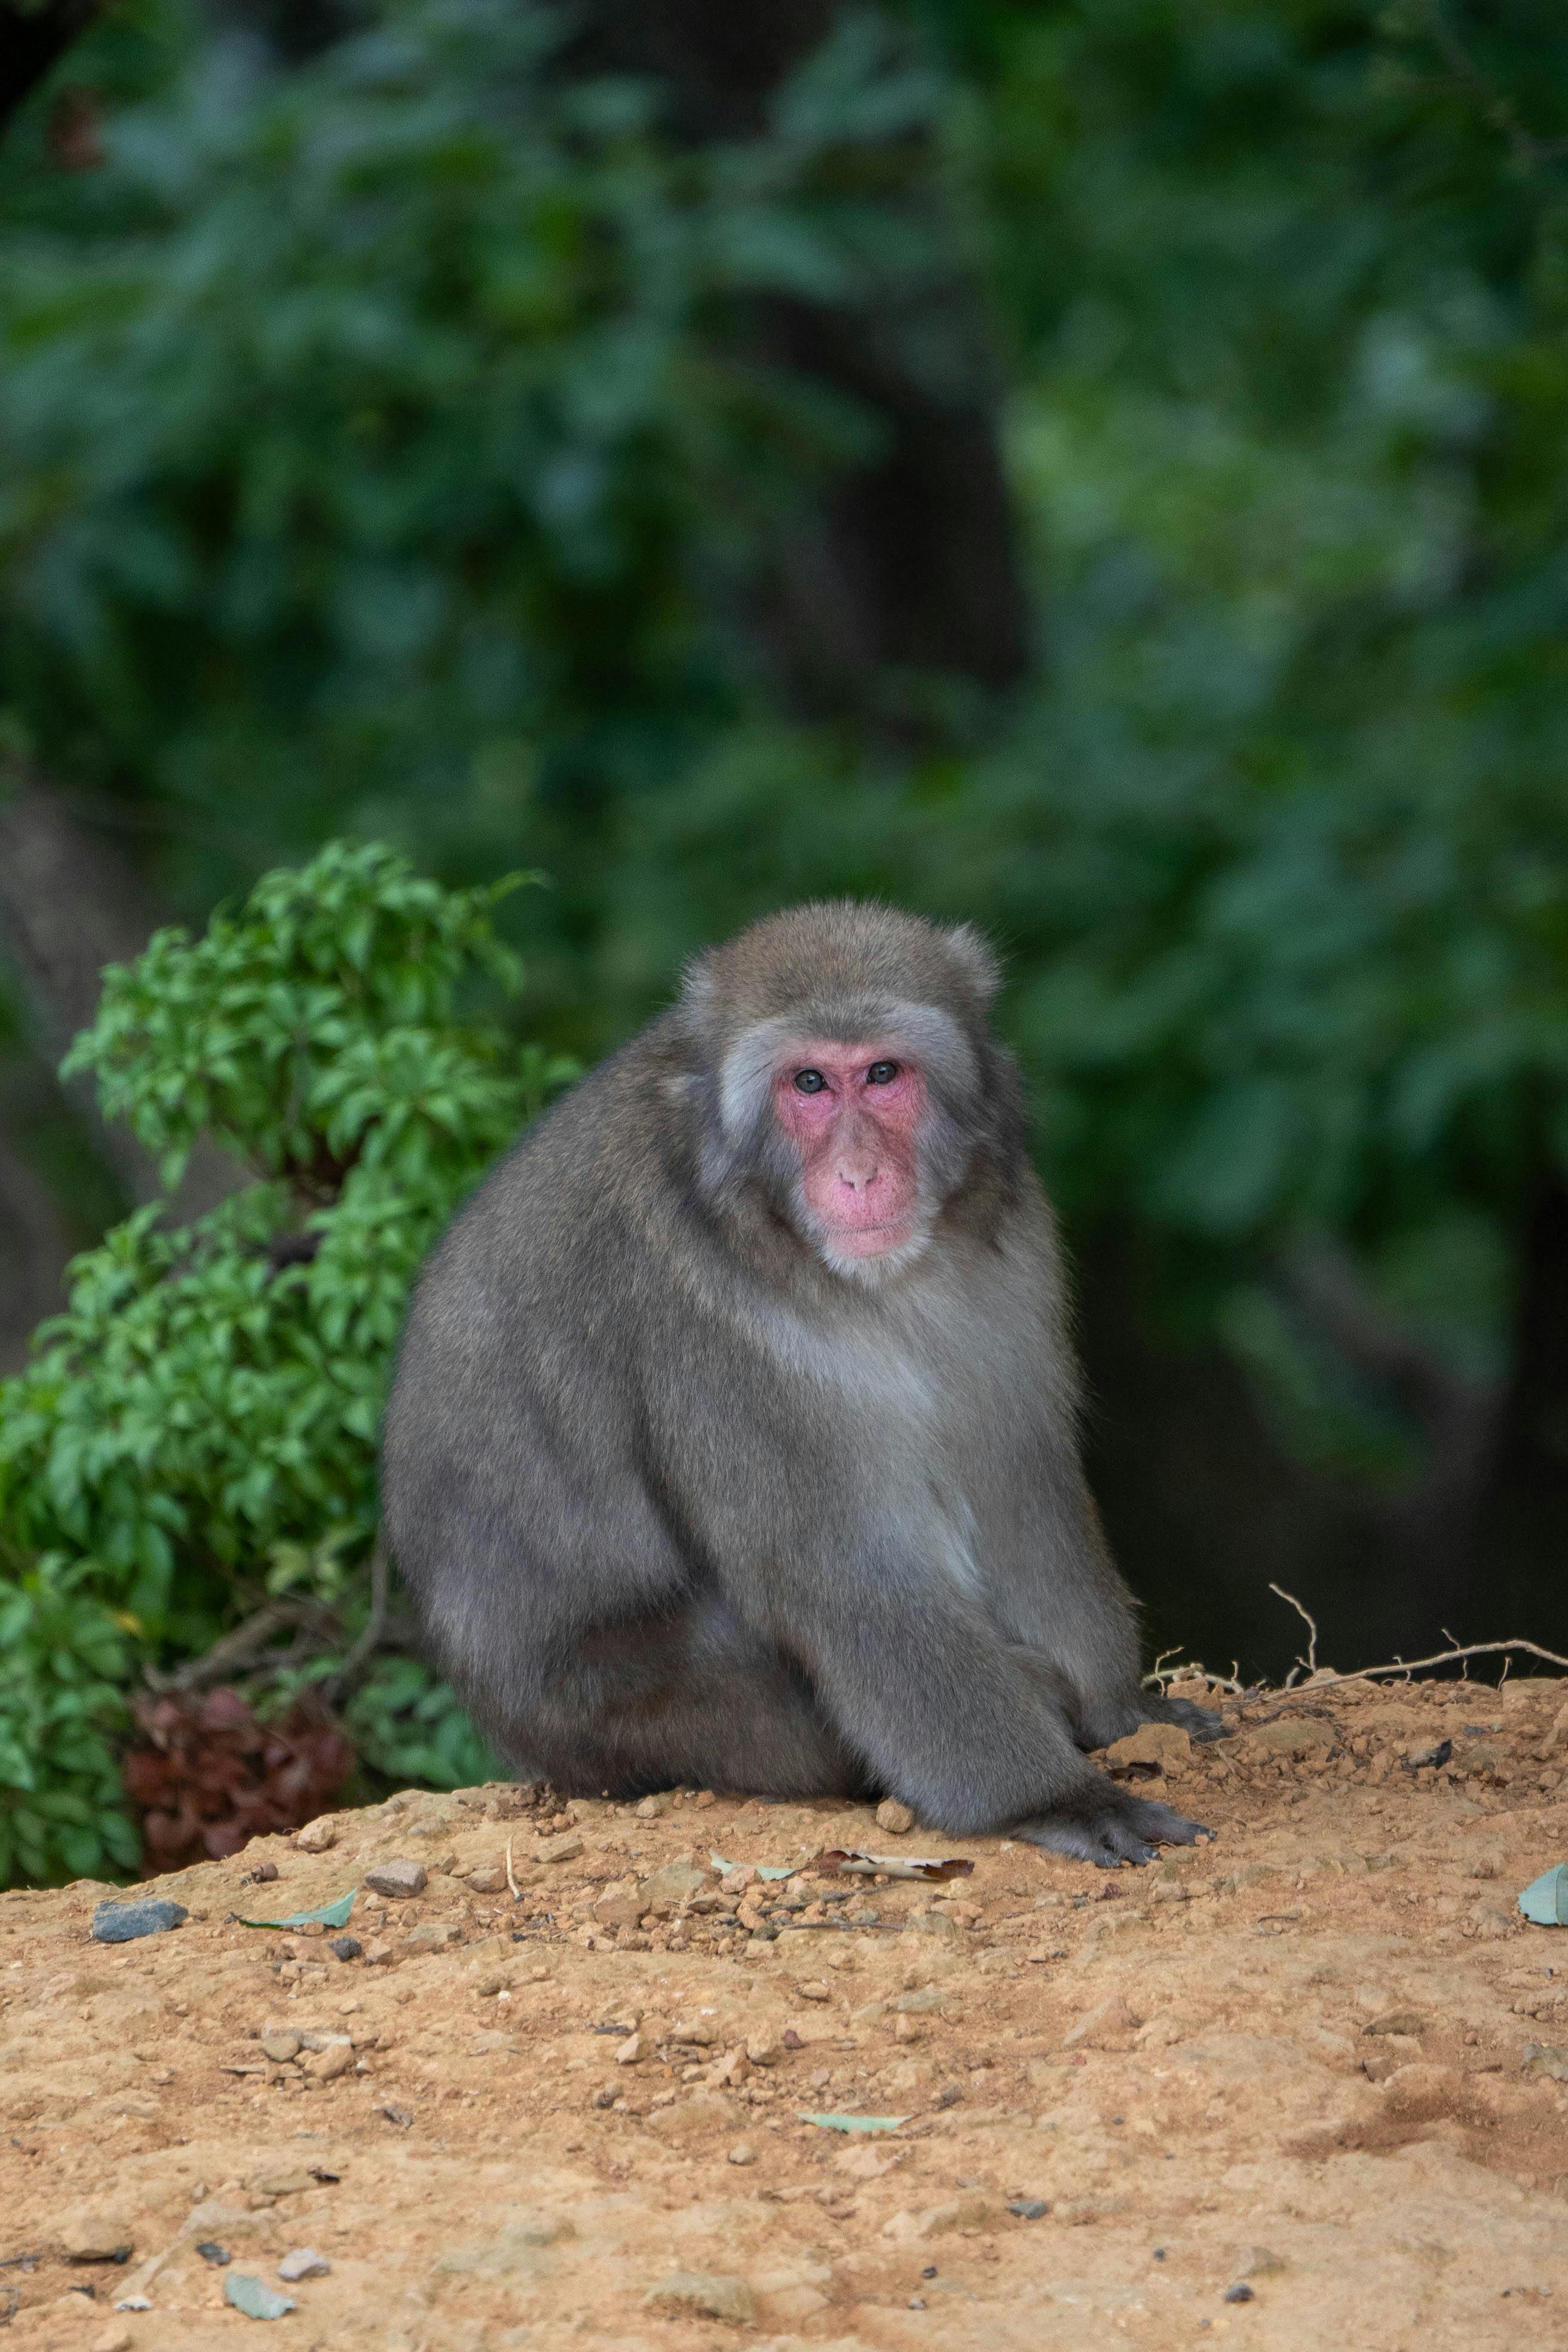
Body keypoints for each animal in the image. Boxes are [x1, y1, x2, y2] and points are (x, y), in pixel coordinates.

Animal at [383, 893, 1222, 1853]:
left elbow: (1016, 1481)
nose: (858, 1175)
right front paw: (1052, 1800)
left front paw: (1122, 1711)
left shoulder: (1012, 1232)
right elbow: (847, 1571)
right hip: (631, 1719)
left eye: (883, 1074)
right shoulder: (703, 1319)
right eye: (810, 1085)